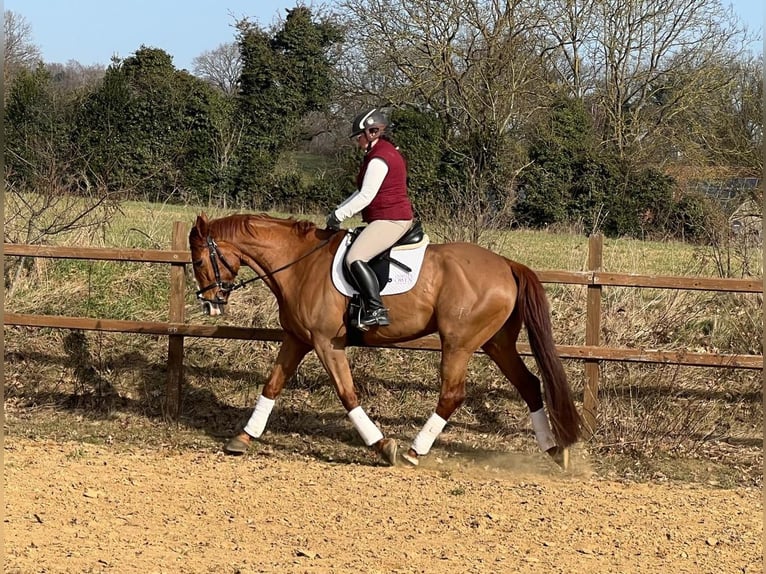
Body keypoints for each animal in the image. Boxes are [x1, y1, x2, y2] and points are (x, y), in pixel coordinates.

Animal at [188, 212, 582, 468]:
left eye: (198, 260)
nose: (210, 304)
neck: (299, 264)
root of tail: (506, 264)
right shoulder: (297, 339)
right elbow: (271, 385)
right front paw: (243, 437)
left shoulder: (326, 343)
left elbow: (347, 394)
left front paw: (382, 445)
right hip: (496, 343)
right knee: (529, 385)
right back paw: (554, 451)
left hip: (459, 343)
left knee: (453, 394)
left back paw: (414, 451)